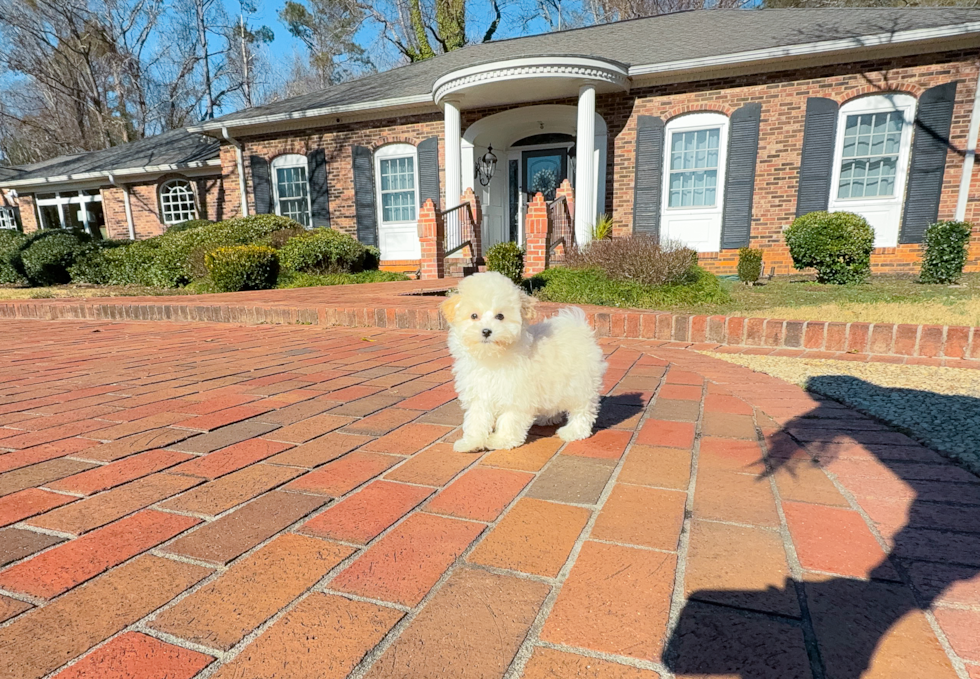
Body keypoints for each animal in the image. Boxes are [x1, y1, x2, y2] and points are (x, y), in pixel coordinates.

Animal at [442, 270, 604, 452]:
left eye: (500, 316)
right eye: (474, 316)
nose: (486, 331)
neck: (493, 357)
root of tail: (577, 327)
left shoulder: (516, 393)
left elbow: (509, 418)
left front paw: (501, 440)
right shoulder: (480, 392)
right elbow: (476, 419)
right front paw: (471, 442)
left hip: (579, 384)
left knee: (582, 409)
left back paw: (574, 431)